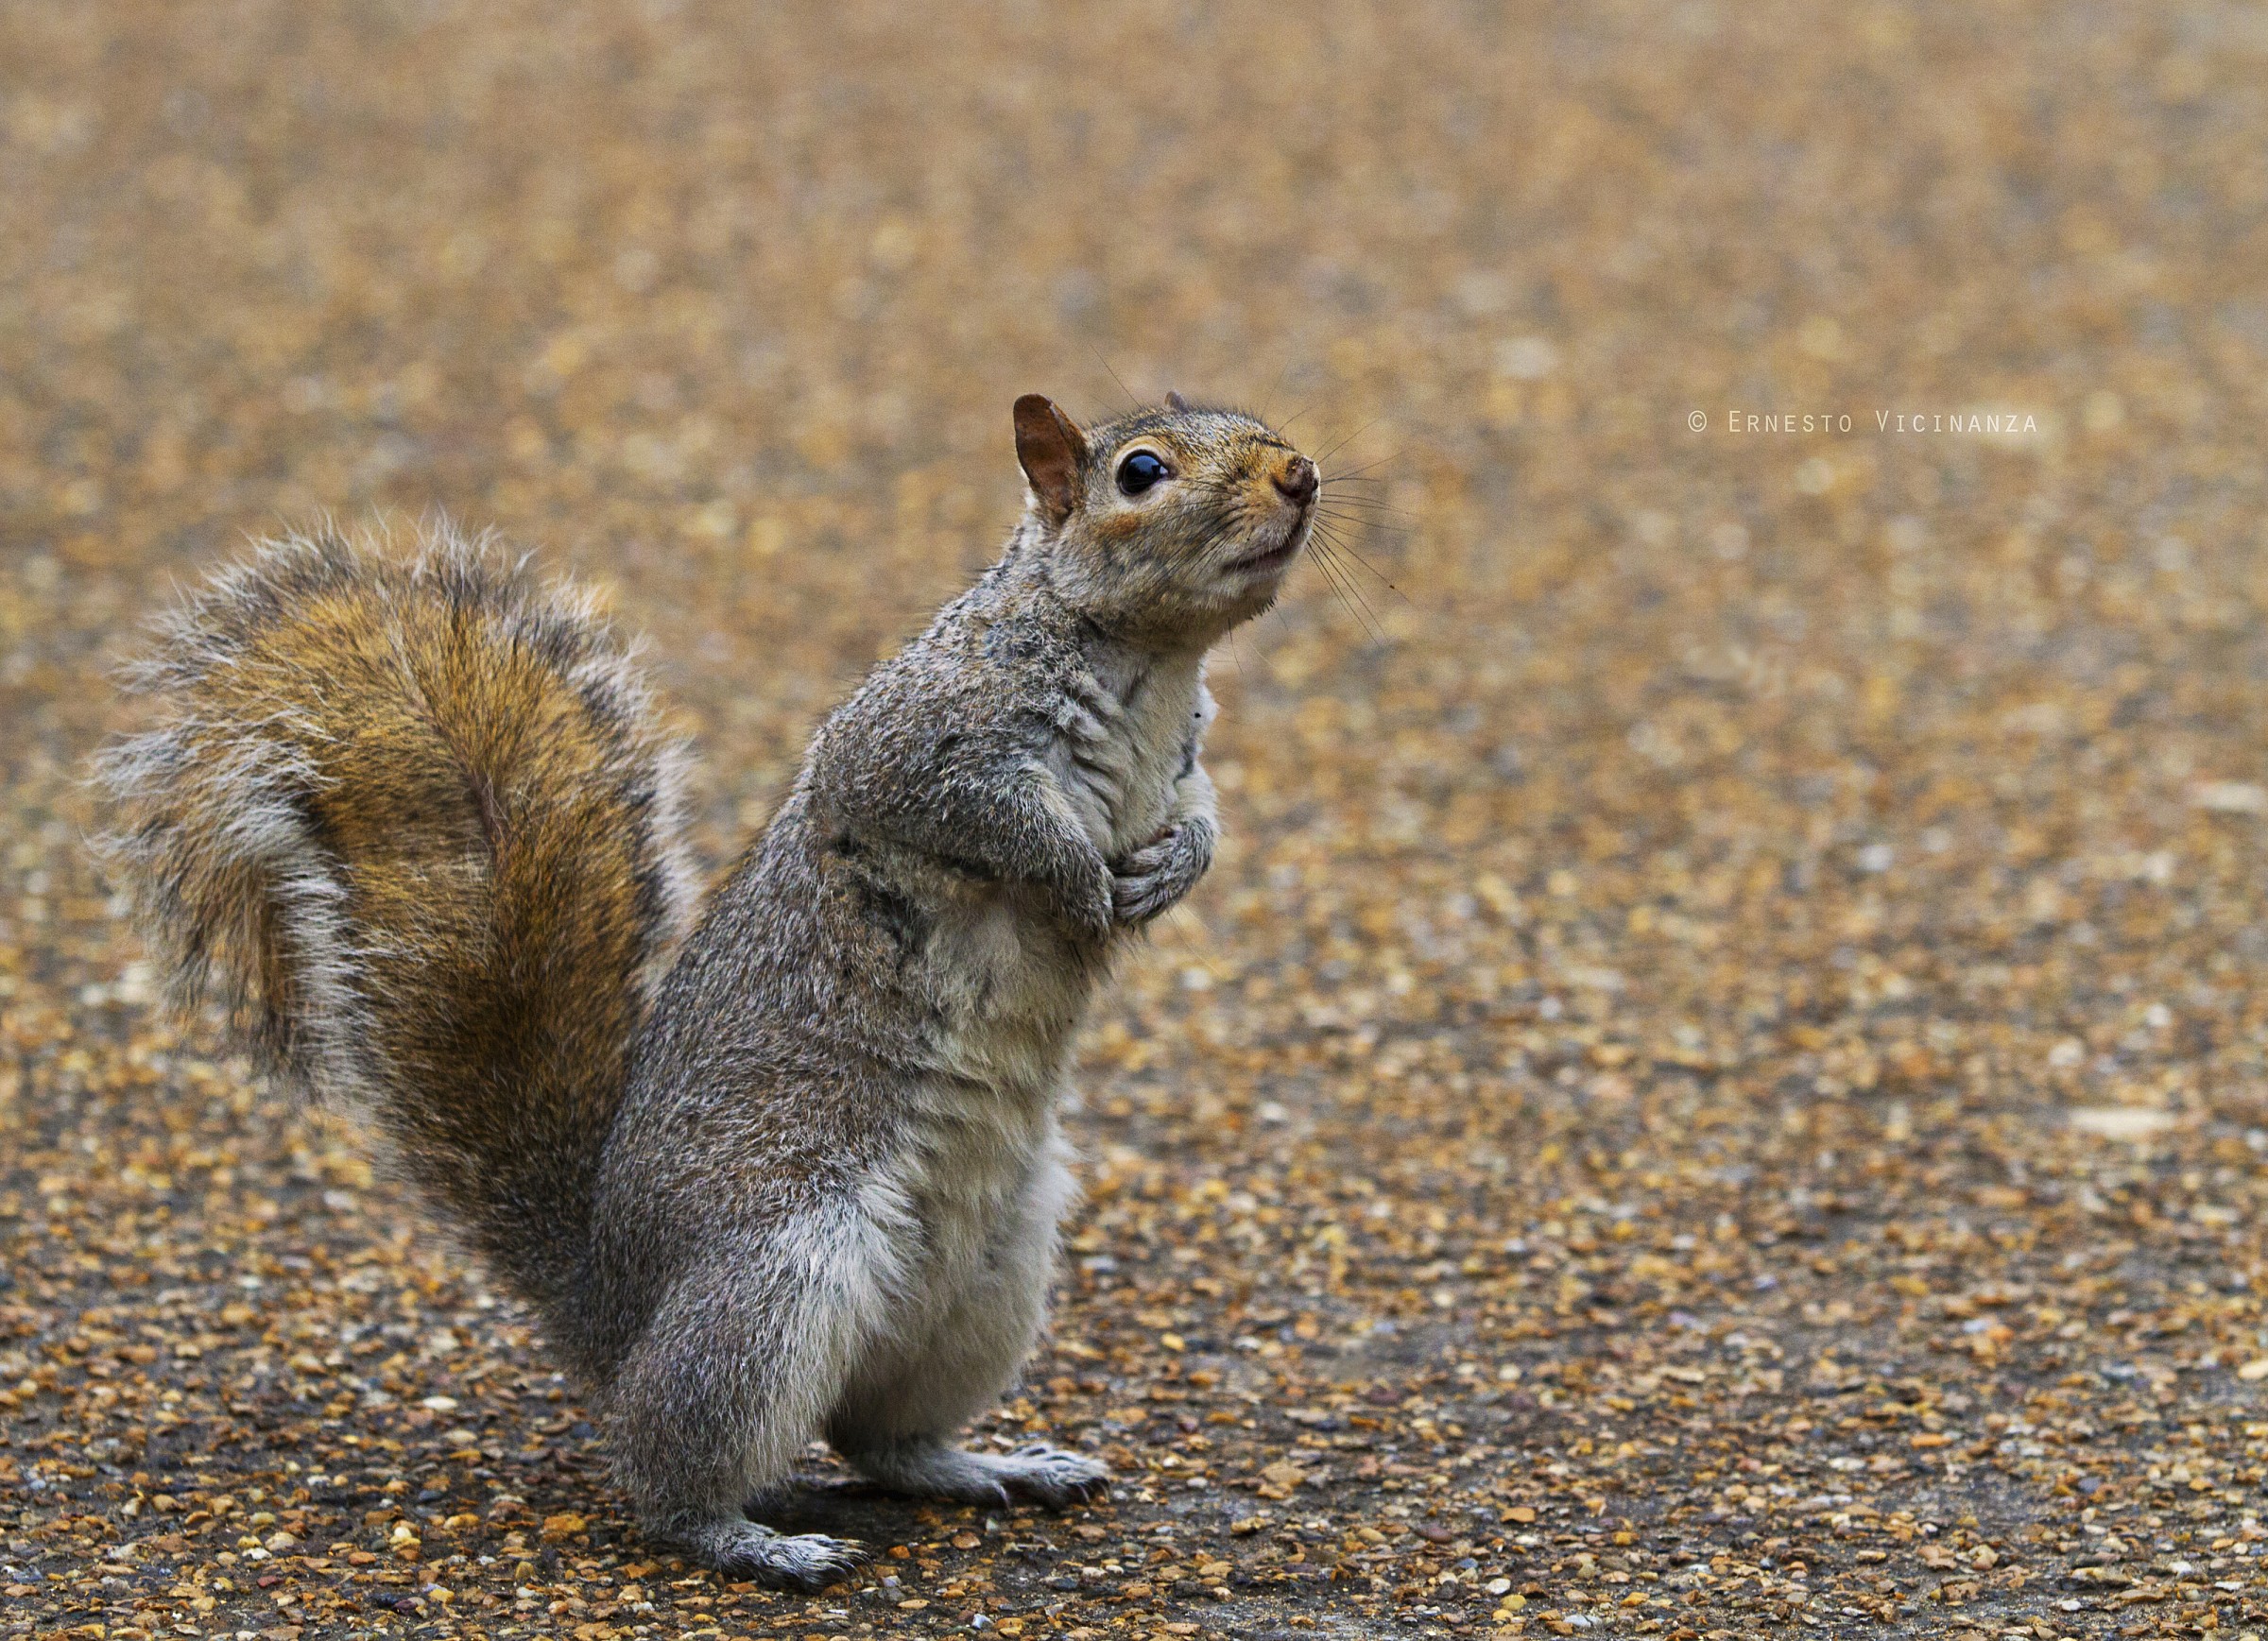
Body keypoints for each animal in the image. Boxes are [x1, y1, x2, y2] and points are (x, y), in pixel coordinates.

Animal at [95, 391, 1321, 1589]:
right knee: (663, 1465)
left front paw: (1175, 867)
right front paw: (1076, 877)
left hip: (990, 1282)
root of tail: (611, 1300)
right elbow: (987, 815)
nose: (1302, 474)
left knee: (879, 1440)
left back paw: (989, 1467)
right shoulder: (919, 746)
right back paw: (749, 1539)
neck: (1154, 666)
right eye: (1141, 472)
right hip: (773, 1277)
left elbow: (1203, 815)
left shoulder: (1182, 766)